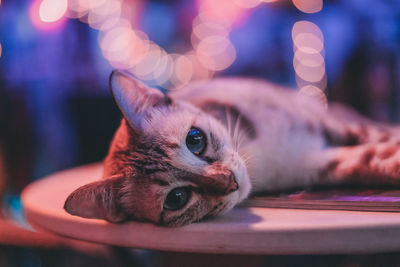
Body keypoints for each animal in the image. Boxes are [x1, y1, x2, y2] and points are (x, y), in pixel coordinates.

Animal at [64, 70, 398, 227]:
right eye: (176, 198)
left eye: (195, 140)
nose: (229, 181)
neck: (260, 158)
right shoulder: (319, 164)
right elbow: (378, 159)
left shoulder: (335, 127)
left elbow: (386, 137)